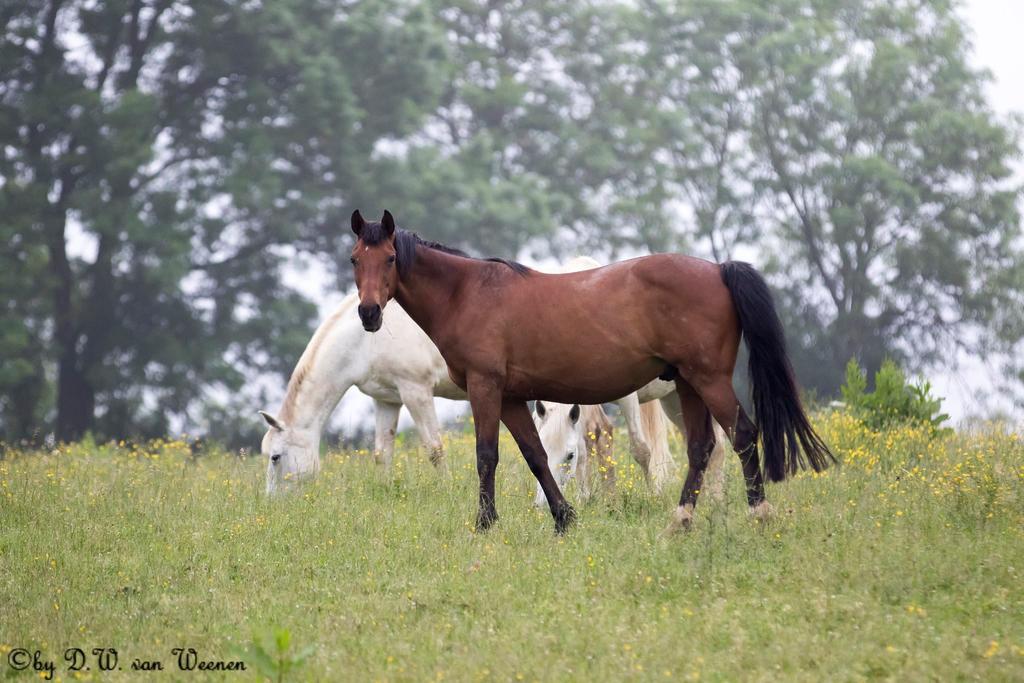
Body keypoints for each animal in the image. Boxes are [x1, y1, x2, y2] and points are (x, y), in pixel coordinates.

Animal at [350, 209, 831, 532]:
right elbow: (536, 454)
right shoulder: (511, 396)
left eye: (390, 259)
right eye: (355, 259)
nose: (369, 314)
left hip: (708, 379)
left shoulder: (485, 388)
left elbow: (487, 455)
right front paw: (565, 519)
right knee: (702, 447)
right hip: (688, 385)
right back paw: (679, 521)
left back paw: (759, 515)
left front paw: (485, 523)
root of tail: (718, 270)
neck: (468, 292)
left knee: (743, 434)